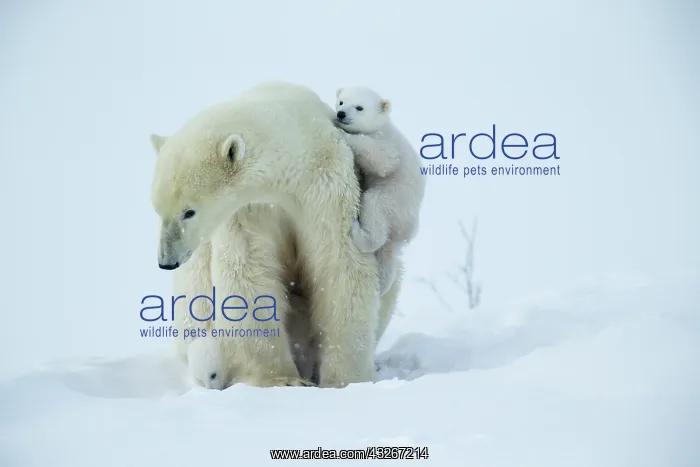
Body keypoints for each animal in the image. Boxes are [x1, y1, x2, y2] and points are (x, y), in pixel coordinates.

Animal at [148, 81, 403, 388]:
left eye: (189, 212)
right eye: (157, 209)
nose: (166, 262)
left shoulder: (325, 187)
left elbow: (338, 265)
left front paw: (345, 379)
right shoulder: (250, 210)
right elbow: (248, 274)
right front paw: (281, 379)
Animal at [333, 86, 426, 296]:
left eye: (359, 107)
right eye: (341, 102)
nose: (341, 114)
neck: (380, 125)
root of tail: (404, 233)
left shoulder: (386, 141)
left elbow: (383, 158)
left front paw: (344, 134)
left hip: (394, 198)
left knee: (373, 205)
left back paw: (358, 232)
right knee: (386, 254)